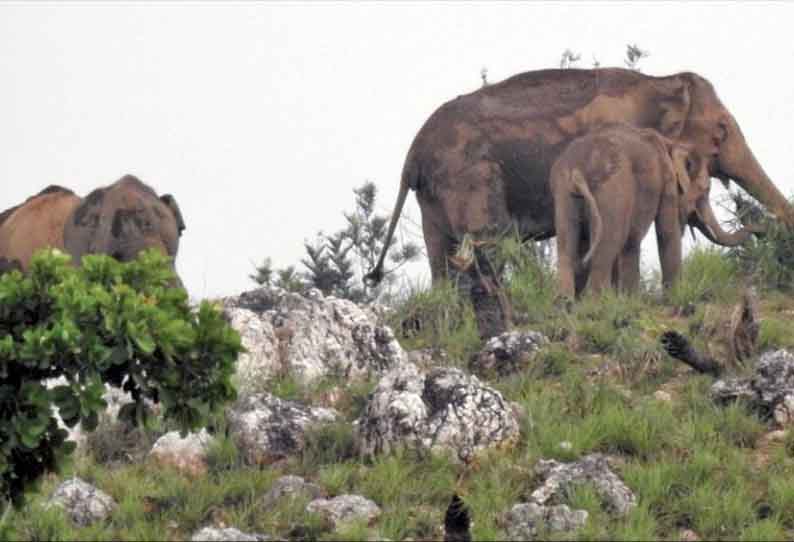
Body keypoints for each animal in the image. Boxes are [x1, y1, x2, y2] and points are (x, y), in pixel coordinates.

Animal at [548, 125, 756, 300]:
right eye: (706, 190)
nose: (754, 223)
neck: (671, 143)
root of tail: (577, 171)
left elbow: (633, 240)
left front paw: (631, 300)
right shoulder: (668, 181)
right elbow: (667, 232)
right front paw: (673, 297)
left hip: (563, 192)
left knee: (567, 244)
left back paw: (565, 303)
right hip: (613, 189)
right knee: (610, 242)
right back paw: (597, 303)